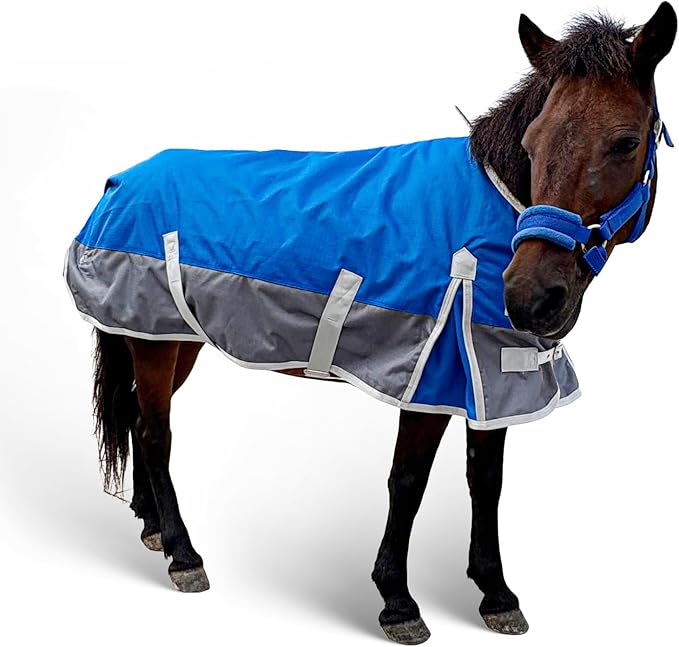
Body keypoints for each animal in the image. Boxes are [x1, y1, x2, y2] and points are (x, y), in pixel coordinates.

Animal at [65, 4, 675, 643]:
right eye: (532, 144)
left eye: (625, 141)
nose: (531, 298)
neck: (491, 211)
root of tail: (120, 182)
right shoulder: (431, 376)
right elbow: (407, 482)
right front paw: (397, 601)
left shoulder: (494, 379)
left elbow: (486, 481)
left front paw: (495, 594)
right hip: (154, 340)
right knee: (156, 434)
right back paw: (183, 555)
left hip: (170, 339)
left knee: (139, 419)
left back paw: (151, 527)